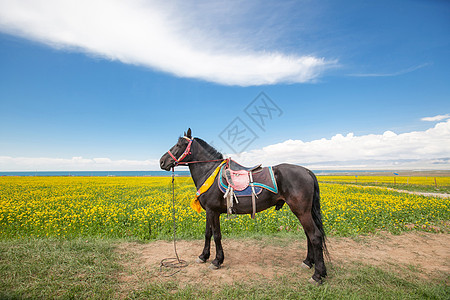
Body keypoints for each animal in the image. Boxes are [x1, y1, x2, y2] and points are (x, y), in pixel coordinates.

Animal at [161, 129, 326, 284]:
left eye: (180, 145)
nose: (162, 161)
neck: (209, 172)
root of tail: (307, 170)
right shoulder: (209, 211)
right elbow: (208, 234)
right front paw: (203, 256)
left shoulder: (213, 211)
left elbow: (216, 235)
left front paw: (217, 261)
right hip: (304, 212)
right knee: (308, 235)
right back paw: (308, 262)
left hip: (302, 212)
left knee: (315, 236)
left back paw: (318, 275)